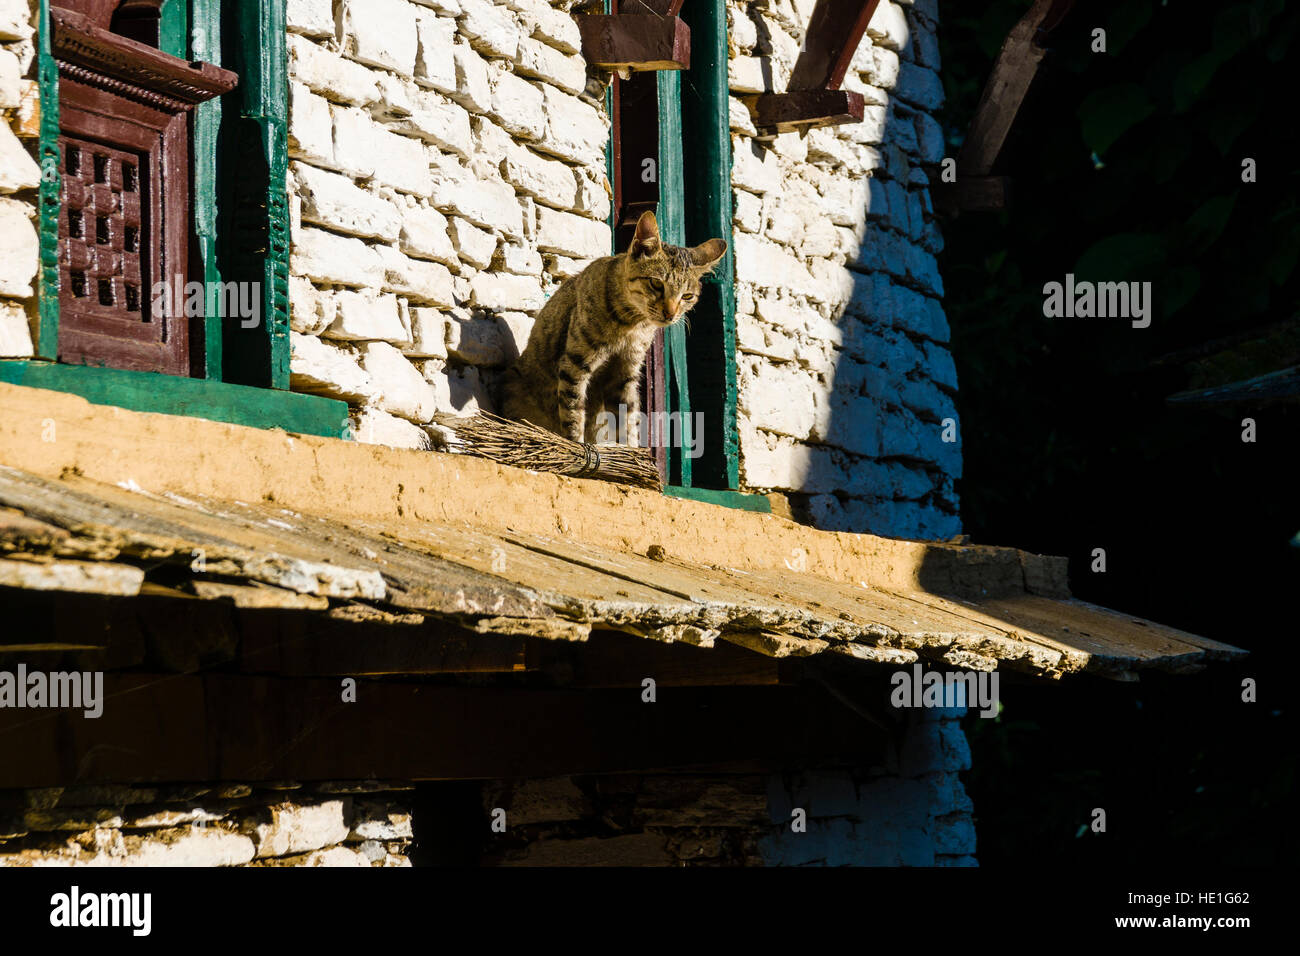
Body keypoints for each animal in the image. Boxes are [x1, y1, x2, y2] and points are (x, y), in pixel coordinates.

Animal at [499, 210, 728, 442]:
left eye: (687, 296)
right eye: (656, 284)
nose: (670, 314)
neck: (633, 326)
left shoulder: (625, 373)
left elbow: (627, 421)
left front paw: (631, 448)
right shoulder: (575, 363)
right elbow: (573, 412)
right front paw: (578, 444)